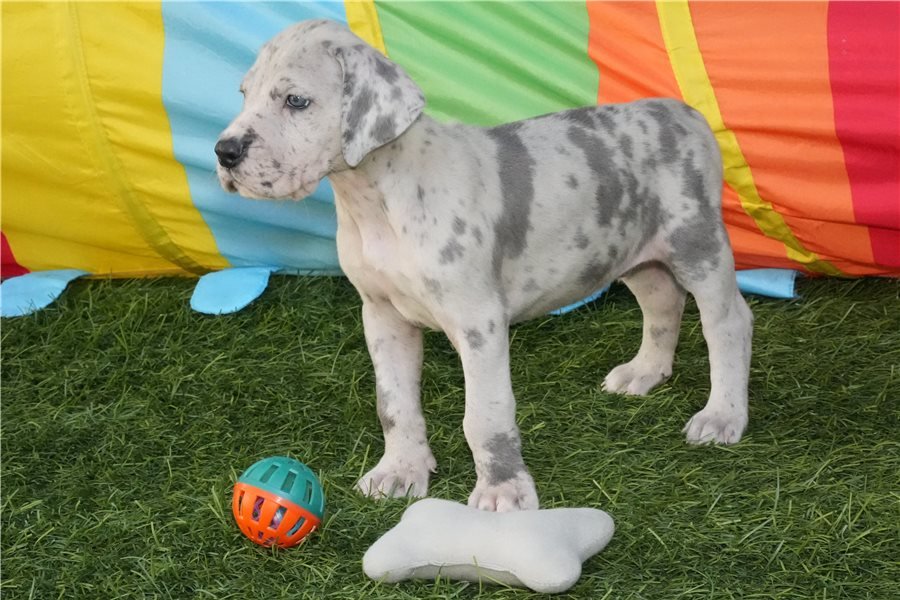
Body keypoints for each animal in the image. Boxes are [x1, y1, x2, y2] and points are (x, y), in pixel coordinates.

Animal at [215, 20, 753, 512]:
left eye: (296, 101)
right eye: (242, 94)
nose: (224, 151)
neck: (376, 200)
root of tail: (685, 113)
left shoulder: (478, 324)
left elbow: (486, 415)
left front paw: (503, 492)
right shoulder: (382, 316)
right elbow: (394, 404)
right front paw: (400, 470)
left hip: (697, 245)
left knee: (729, 323)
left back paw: (723, 415)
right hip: (636, 255)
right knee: (663, 304)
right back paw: (644, 372)